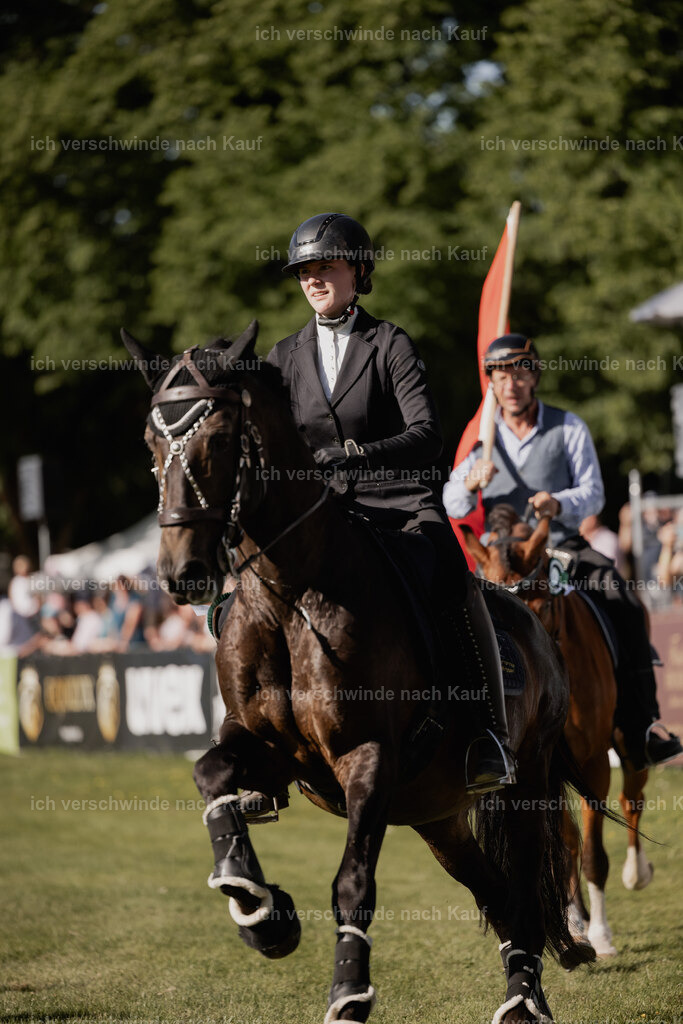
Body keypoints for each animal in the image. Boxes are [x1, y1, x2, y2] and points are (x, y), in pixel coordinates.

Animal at [122, 323, 596, 1024]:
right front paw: (258, 907)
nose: (183, 573)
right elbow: (211, 774)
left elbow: (353, 882)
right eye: (153, 443)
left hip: (524, 781)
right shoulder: (265, 745)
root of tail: (533, 618)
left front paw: (348, 991)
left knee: (523, 884)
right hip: (435, 814)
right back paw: (519, 989)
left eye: (219, 438)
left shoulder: (366, 756)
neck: (291, 594)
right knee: (495, 890)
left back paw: (525, 997)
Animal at [460, 505, 653, 960]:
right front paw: (575, 925)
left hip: (627, 742)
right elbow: (563, 843)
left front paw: (601, 934)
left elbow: (594, 853)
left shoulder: (593, 762)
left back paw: (637, 872)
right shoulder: (544, 764)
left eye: (544, 602)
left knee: (632, 797)